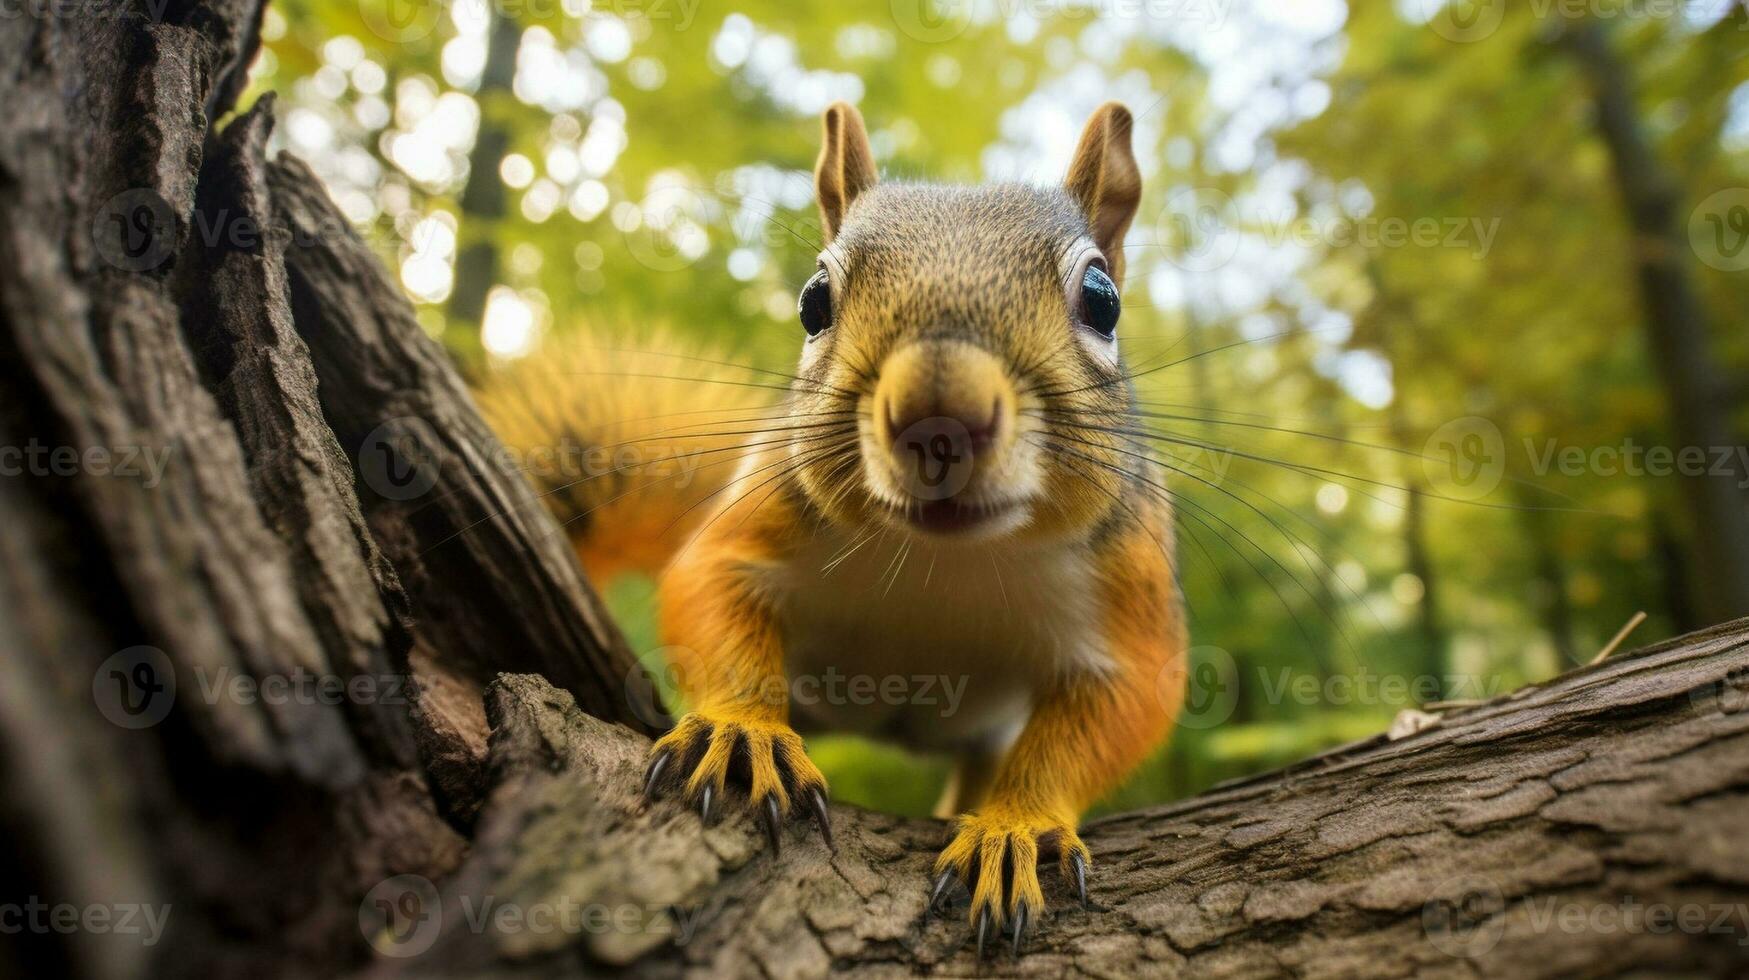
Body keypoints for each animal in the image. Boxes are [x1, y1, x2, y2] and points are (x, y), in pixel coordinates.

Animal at [479, 99, 1189, 959]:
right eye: (813, 301)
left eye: (1101, 299)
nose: (938, 419)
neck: (939, 559)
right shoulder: (756, 523)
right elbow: (706, 585)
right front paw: (741, 732)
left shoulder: (1128, 585)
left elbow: (1125, 701)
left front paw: (1016, 826)